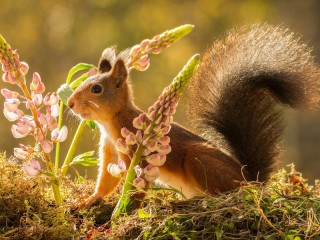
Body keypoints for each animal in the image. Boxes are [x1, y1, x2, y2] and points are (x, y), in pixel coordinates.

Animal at [67, 23, 320, 208]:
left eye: (96, 89)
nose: (69, 103)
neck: (111, 122)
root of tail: (249, 179)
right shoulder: (110, 150)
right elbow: (106, 181)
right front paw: (90, 200)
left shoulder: (137, 153)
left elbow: (138, 185)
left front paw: (126, 208)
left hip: (199, 159)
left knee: (223, 194)